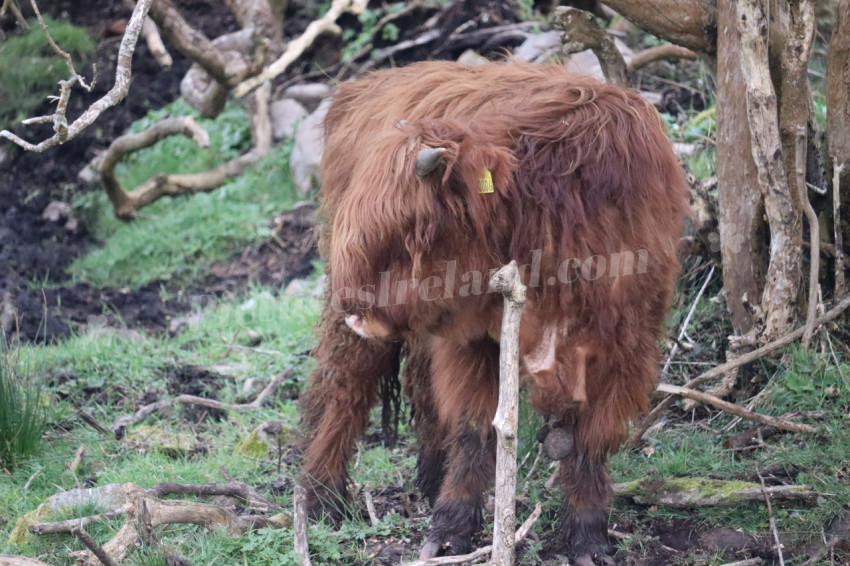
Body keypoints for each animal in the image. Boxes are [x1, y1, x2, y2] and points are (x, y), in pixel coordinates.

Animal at [298, 60, 688, 564]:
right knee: (344, 389)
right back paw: (320, 497)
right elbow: (475, 429)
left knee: (419, 385)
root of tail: (370, 82)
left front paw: (588, 537)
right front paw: (450, 530)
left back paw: (428, 477)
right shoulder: (476, 342)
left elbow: (589, 441)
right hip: (361, 333)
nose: (354, 306)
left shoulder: (624, 344)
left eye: (411, 230)